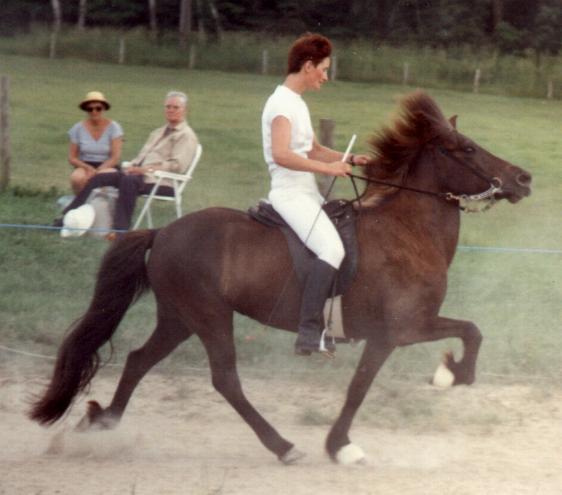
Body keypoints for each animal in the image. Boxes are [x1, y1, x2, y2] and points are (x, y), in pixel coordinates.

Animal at [29, 92, 528, 464]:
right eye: (468, 149)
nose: (523, 178)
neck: (406, 231)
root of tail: (163, 231)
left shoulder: (397, 332)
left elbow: (464, 334)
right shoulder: (399, 330)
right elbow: (373, 382)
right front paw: (447, 377)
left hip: (179, 317)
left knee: (137, 361)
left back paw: (101, 423)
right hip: (208, 315)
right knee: (224, 379)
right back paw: (282, 446)